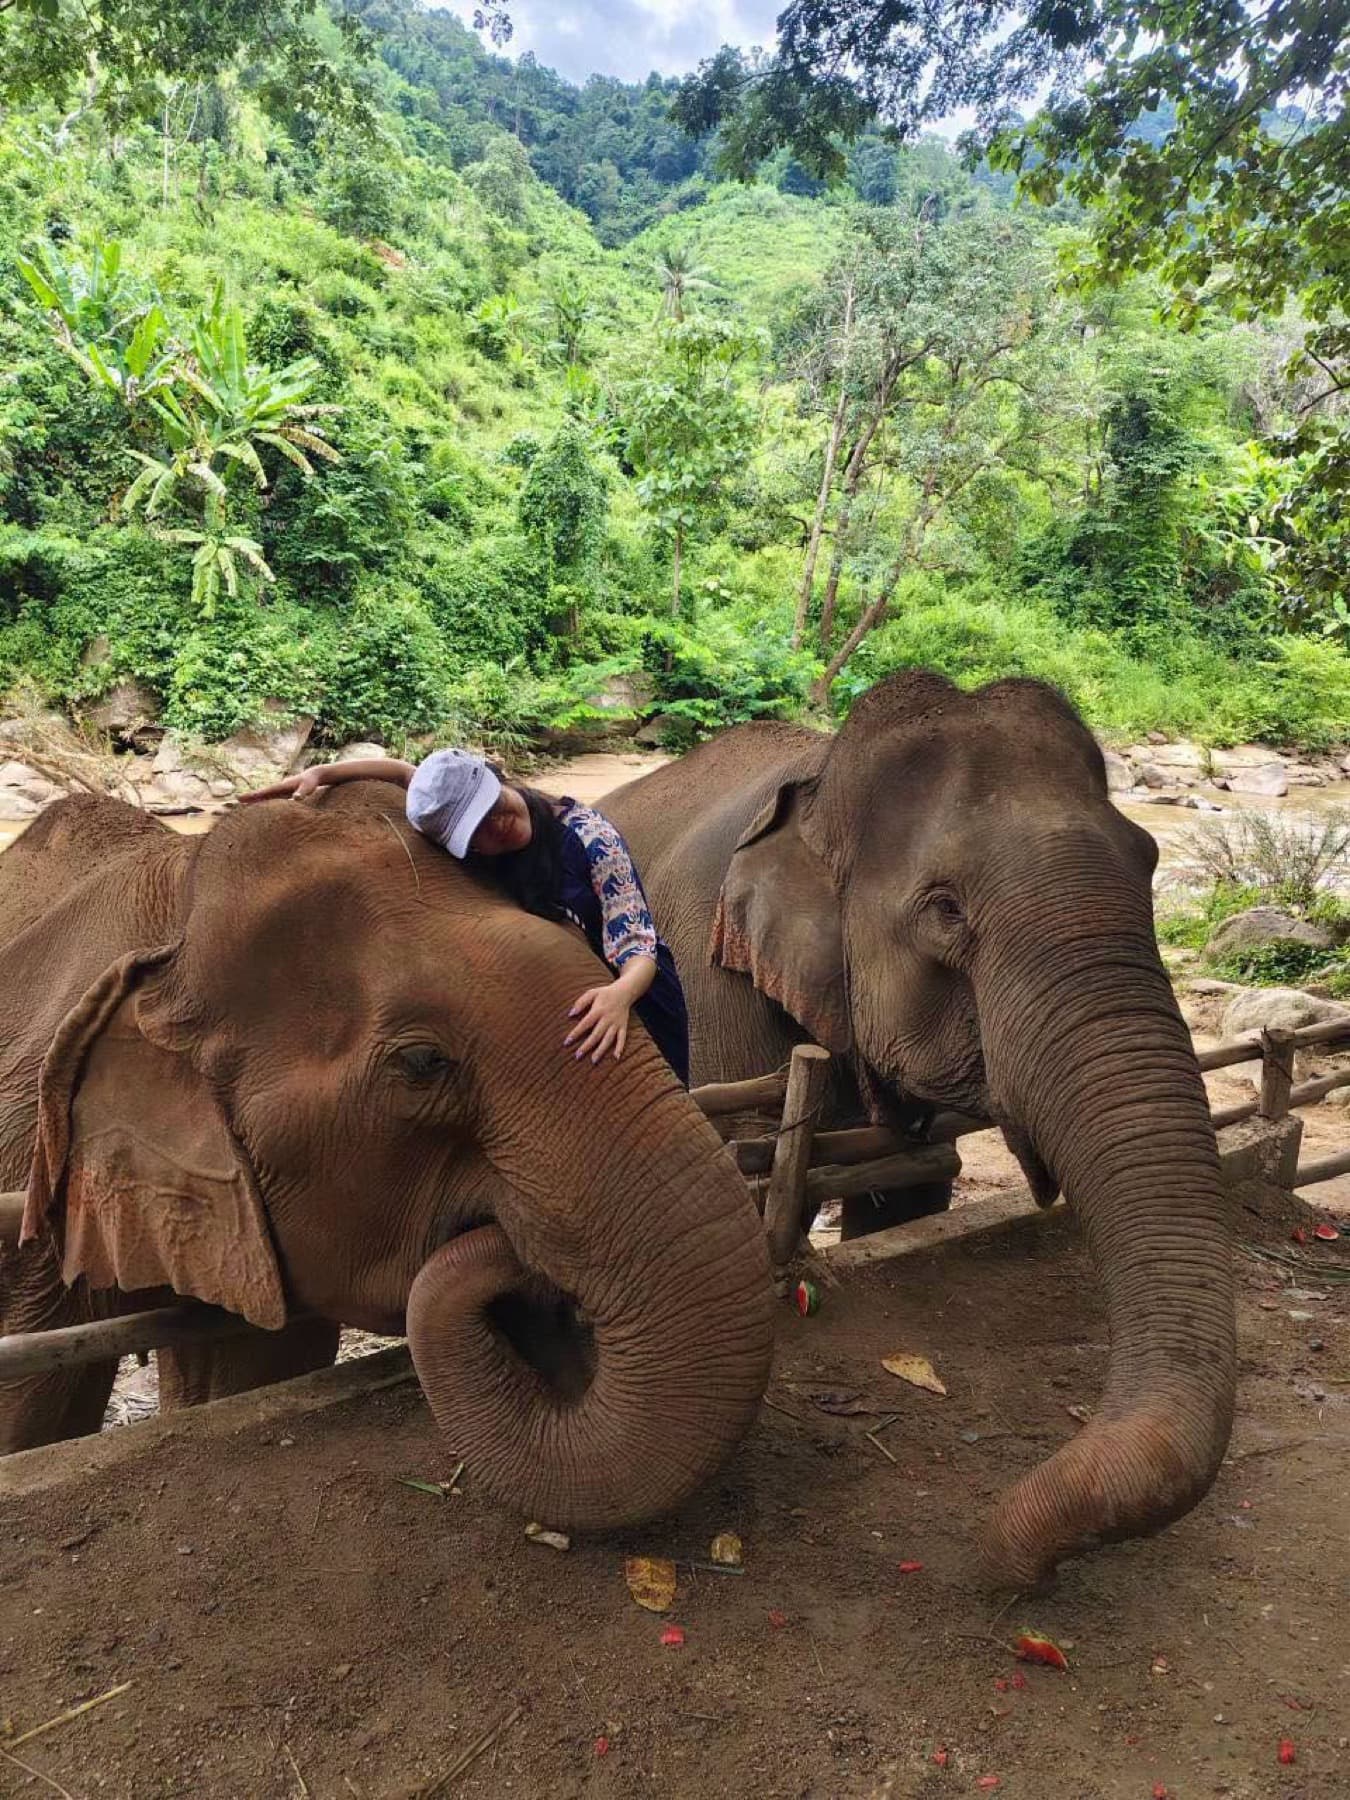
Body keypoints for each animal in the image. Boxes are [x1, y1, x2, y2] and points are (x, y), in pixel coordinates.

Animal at [604, 672, 1235, 1585]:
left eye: (1150, 860)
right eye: (944, 910)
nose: (1004, 1553)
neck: (821, 779)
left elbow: (912, 1184)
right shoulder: (710, 973)